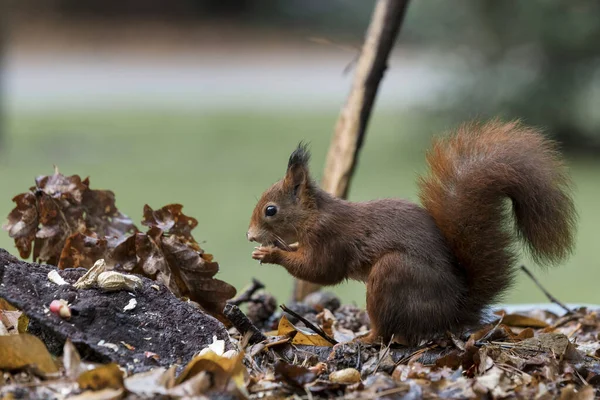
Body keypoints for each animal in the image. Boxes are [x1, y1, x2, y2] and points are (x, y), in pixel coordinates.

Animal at [247, 120, 576, 346]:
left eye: (271, 210)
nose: (250, 235)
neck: (314, 214)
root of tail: (453, 311)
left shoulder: (330, 237)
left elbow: (320, 271)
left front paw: (271, 253)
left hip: (393, 274)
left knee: (386, 332)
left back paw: (364, 339)